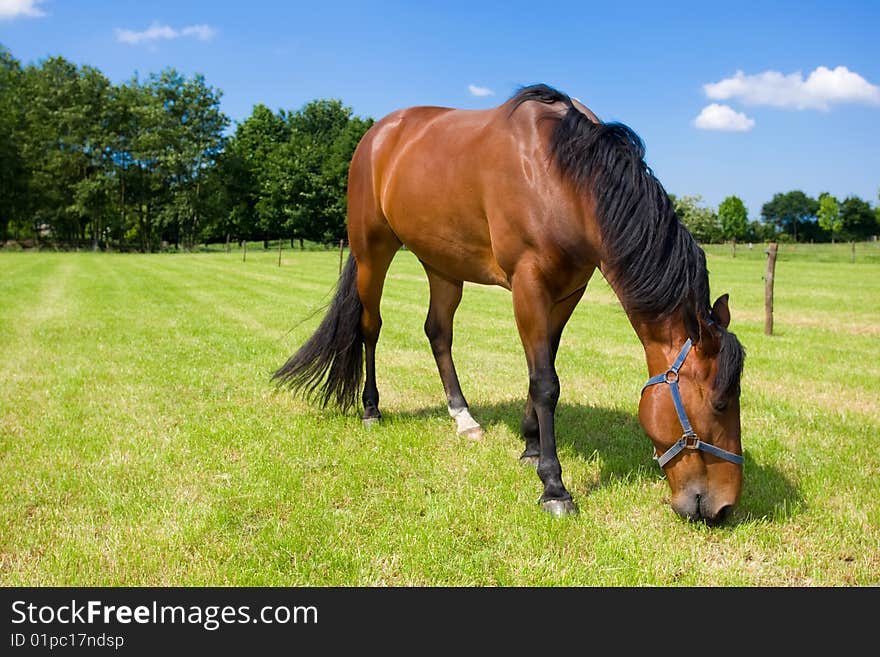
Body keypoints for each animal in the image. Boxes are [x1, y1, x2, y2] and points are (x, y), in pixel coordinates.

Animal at [274, 83, 744, 524]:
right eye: (719, 403)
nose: (723, 506)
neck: (564, 176)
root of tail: (376, 135)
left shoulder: (568, 291)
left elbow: (541, 368)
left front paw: (531, 446)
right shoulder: (528, 284)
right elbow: (546, 382)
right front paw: (554, 487)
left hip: (442, 266)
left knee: (438, 332)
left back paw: (463, 417)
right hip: (374, 251)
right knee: (370, 327)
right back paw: (371, 409)